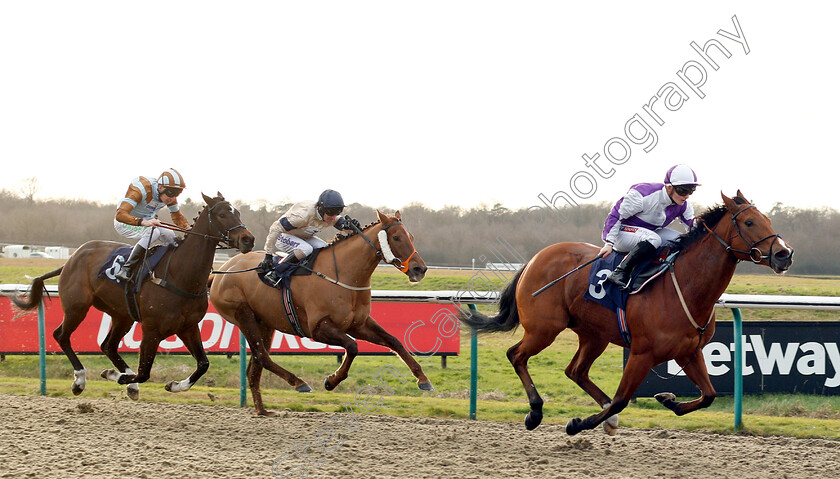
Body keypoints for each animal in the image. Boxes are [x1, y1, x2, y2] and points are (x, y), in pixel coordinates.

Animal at [9, 193, 254, 400]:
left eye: (238, 213)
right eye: (222, 214)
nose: (248, 239)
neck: (179, 274)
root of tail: (72, 258)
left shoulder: (188, 326)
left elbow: (203, 364)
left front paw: (174, 385)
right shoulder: (152, 329)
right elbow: (144, 372)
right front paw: (115, 375)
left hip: (121, 315)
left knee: (108, 345)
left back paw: (127, 382)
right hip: (77, 307)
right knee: (61, 335)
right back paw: (80, 380)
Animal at [209, 210, 434, 416]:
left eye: (411, 237)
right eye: (396, 237)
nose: (420, 269)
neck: (343, 275)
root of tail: (222, 272)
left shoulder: (358, 324)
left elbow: (394, 341)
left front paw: (423, 379)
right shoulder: (318, 328)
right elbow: (352, 346)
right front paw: (331, 381)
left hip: (265, 322)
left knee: (255, 367)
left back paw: (262, 410)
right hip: (243, 316)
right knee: (261, 356)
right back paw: (299, 383)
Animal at [460, 191, 796, 436]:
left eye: (767, 218)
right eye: (749, 222)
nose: (785, 253)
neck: (685, 287)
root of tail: (534, 259)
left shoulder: (688, 352)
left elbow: (710, 394)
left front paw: (668, 399)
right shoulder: (642, 353)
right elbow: (622, 399)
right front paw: (578, 424)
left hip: (593, 334)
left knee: (575, 370)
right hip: (545, 328)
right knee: (516, 355)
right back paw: (535, 411)